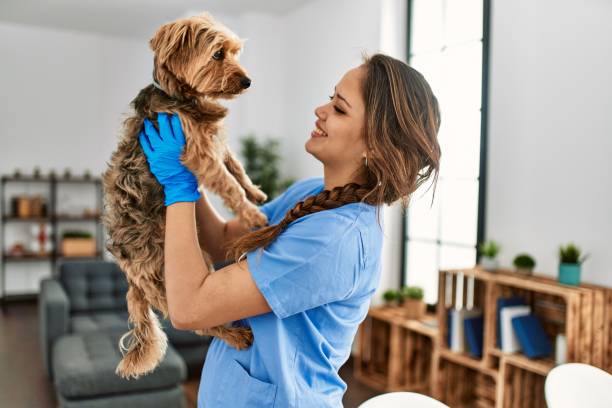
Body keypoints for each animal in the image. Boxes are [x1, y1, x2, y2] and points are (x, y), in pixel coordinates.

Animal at [102, 11, 268, 380]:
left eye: (235, 52)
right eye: (218, 54)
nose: (249, 81)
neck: (184, 97)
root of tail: (129, 275)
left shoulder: (213, 142)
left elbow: (236, 166)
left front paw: (256, 191)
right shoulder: (198, 153)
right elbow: (228, 182)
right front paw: (251, 213)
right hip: (167, 272)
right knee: (196, 322)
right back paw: (235, 335)